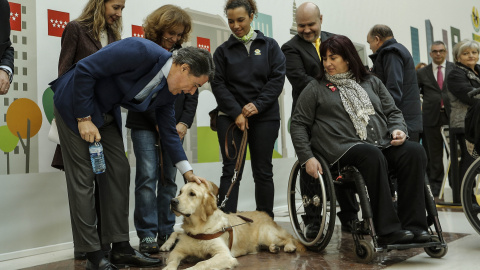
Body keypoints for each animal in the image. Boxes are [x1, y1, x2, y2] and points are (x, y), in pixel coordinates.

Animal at [161, 180, 304, 268]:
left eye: (192, 194)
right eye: (180, 192)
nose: (172, 201)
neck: (198, 227)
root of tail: (265, 213)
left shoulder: (225, 255)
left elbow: (201, 264)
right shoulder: (178, 251)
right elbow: (171, 260)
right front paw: (167, 261)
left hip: (267, 234)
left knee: (289, 238)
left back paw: (289, 247)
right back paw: (273, 248)